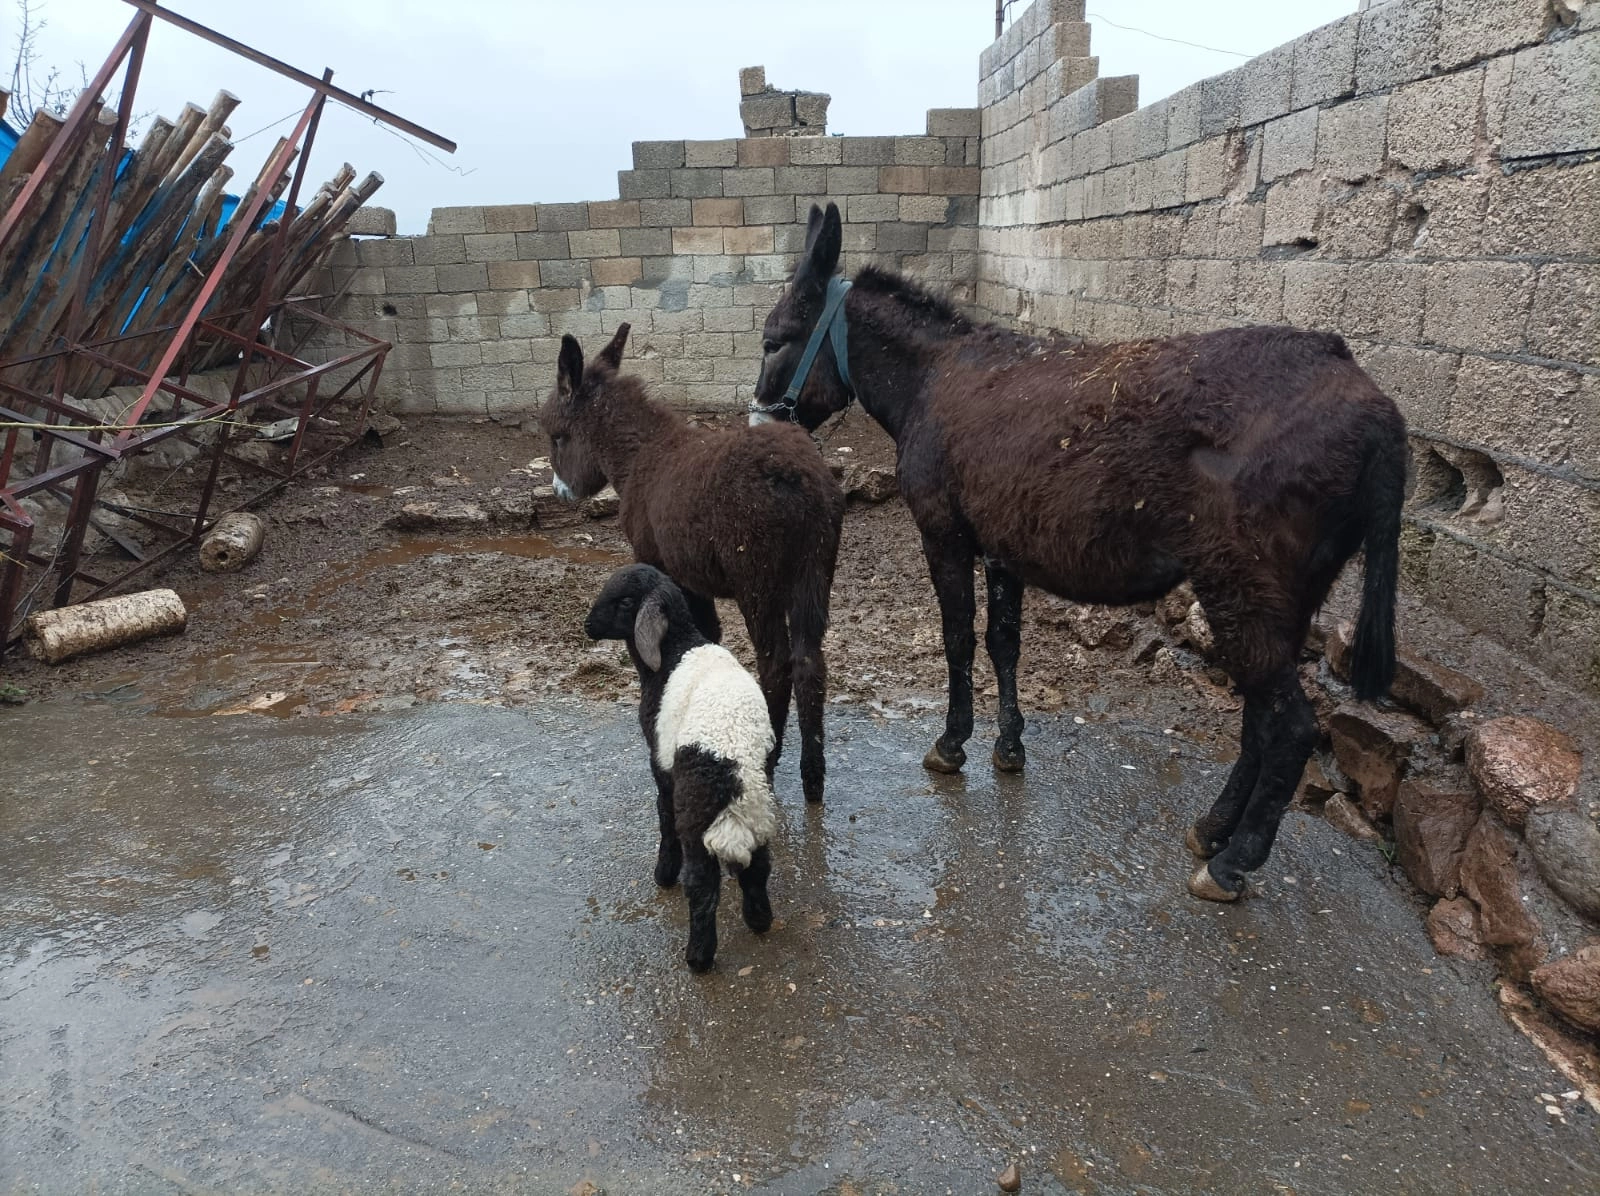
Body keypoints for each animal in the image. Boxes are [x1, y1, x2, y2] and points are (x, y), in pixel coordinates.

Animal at [585, 562, 784, 972]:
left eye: (625, 601)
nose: (588, 626)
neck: (677, 648)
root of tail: (733, 775)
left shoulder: (660, 762)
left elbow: (663, 817)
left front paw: (663, 875)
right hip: (760, 809)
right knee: (758, 867)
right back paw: (758, 921)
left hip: (694, 811)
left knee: (702, 885)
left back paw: (698, 957)